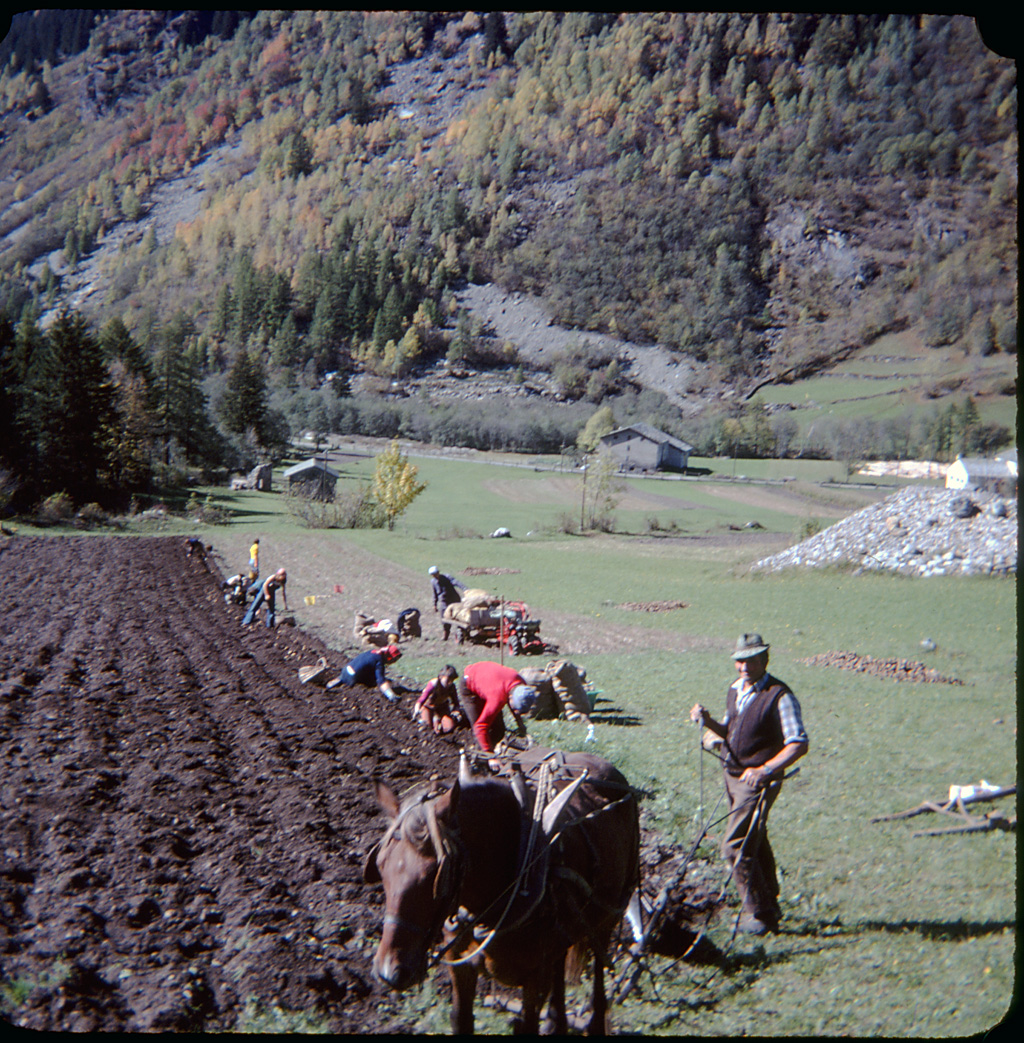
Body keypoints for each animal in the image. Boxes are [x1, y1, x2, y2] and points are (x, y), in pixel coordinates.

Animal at [364, 750, 642, 1034]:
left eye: (435, 875)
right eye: (380, 867)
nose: (389, 972)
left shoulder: (534, 976)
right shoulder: (461, 965)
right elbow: (461, 1019)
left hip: (607, 919)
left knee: (598, 983)